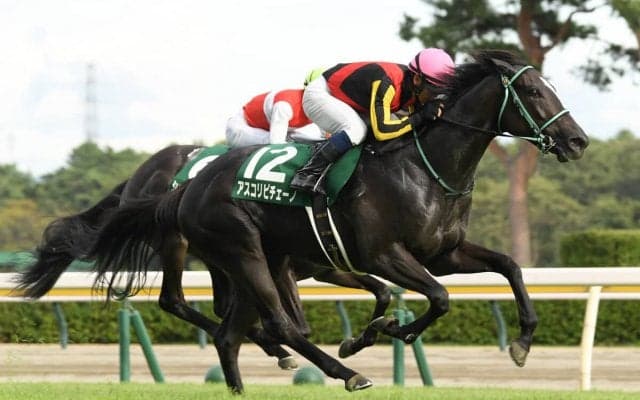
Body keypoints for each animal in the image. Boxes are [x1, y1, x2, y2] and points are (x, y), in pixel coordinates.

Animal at [15, 144, 392, 369]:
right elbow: (298, 324)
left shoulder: (326, 269)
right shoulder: (289, 267)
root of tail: (139, 173)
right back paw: (272, 349)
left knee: (216, 304)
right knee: (173, 300)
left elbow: (382, 290)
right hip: (177, 242)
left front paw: (362, 338)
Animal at [88, 50, 589, 392]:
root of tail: (186, 187)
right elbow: (439, 298)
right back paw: (346, 372)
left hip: (256, 259)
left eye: (554, 89)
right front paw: (388, 332)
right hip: (239, 250)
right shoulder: (382, 255)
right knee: (275, 325)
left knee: (230, 335)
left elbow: (509, 266)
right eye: (534, 92)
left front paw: (522, 342)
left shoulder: (441, 253)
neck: (425, 168)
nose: (578, 141)